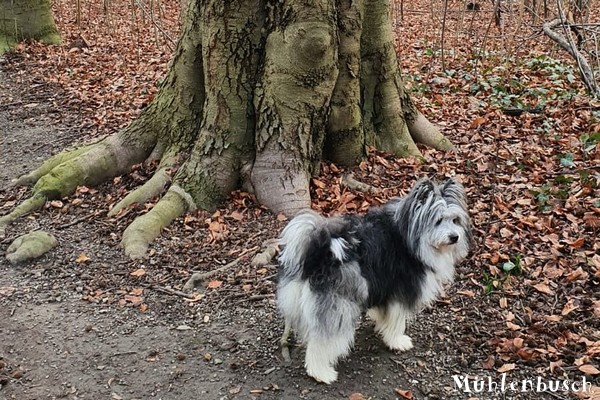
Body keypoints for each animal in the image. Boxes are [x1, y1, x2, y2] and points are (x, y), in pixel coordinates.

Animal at [278, 179, 474, 384]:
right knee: (321, 343)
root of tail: (317, 254)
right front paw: (396, 341)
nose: (455, 237)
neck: (408, 232)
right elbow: (397, 320)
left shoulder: (383, 285)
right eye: (438, 221)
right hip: (338, 307)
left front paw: (380, 321)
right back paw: (321, 373)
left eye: (455, 220)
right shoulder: (402, 290)